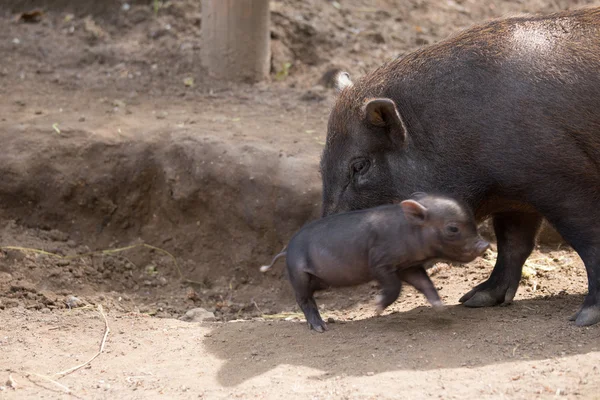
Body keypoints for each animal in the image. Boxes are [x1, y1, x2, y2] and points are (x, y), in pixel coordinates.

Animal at [260, 193, 490, 332]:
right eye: (453, 228)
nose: (485, 244)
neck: (407, 231)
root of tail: (287, 249)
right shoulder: (379, 262)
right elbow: (395, 287)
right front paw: (377, 308)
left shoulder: (408, 266)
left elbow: (425, 283)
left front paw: (440, 308)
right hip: (298, 273)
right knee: (304, 299)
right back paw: (321, 328)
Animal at [322, 7, 600, 324]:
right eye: (322, 163)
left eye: (359, 166)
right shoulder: (516, 196)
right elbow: (512, 243)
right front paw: (474, 301)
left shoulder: (563, 180)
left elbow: (589, 240)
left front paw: (583, 318)